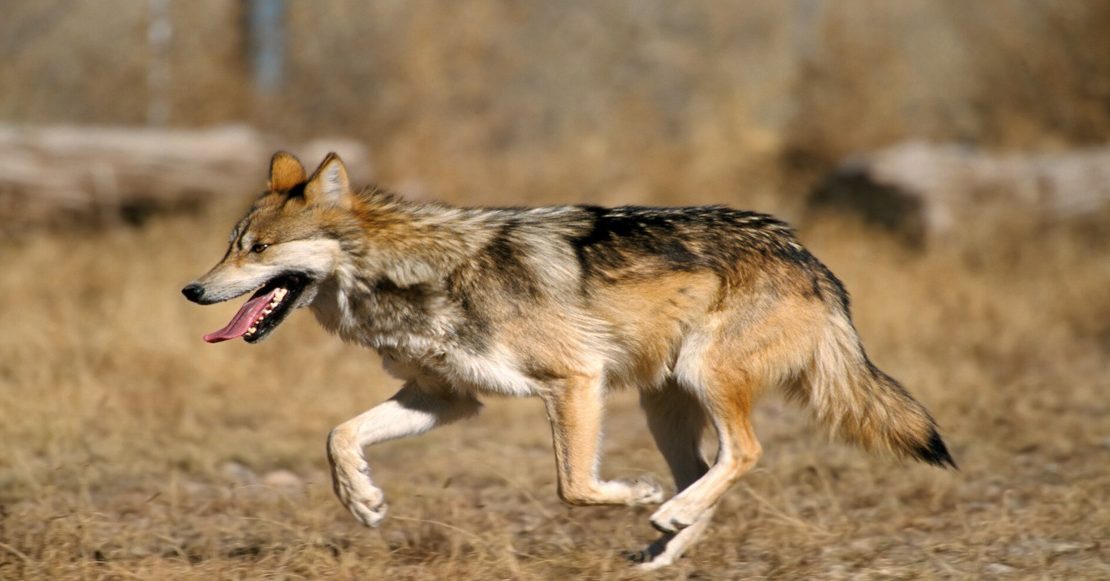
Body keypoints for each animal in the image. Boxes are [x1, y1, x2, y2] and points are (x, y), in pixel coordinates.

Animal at [182, 152, 955, 569]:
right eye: (229, 246)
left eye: (257, 249)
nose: (191, 290)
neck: (415, 273)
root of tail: (808, 256)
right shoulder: (447, 398)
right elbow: (338, 435)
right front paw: (364, 500)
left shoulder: (574, 381)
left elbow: (574, 487)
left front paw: (635, 495)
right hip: (663, 403)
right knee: (708, 472)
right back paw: (664, 547)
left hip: (701, 378)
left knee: (745, 453)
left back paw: (665, 513)